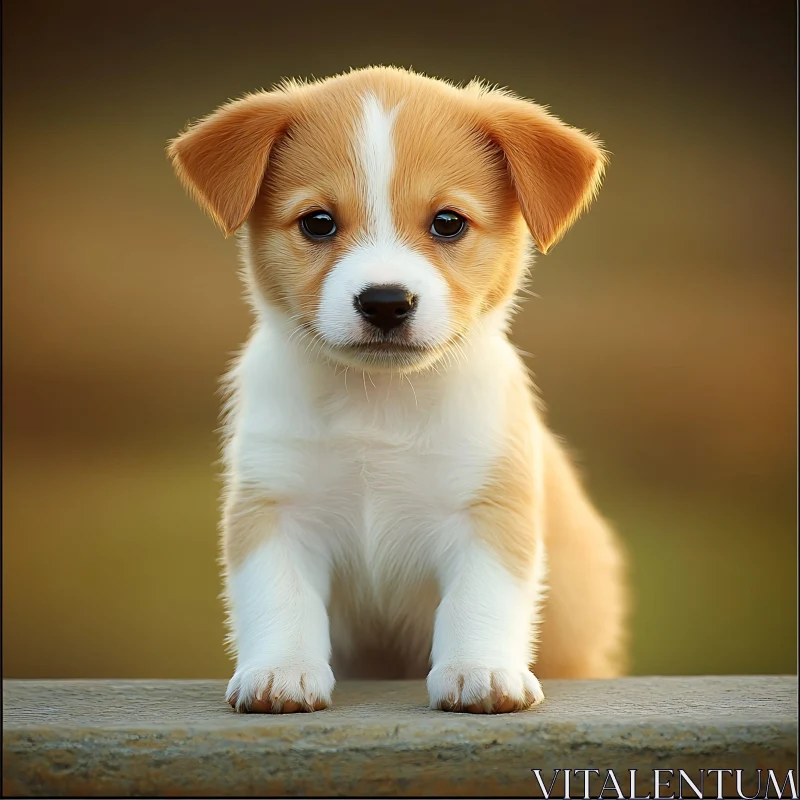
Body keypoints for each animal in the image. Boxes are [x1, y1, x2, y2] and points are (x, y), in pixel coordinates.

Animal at [169, 67, 628, 712]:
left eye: (448, 222)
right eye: (318, 222)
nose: (386, 301)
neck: (377, 402)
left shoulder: (490, 511)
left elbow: (479, 600)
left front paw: (479, 671)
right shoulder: (274, 508)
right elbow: (280, 599)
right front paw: (281, 673)